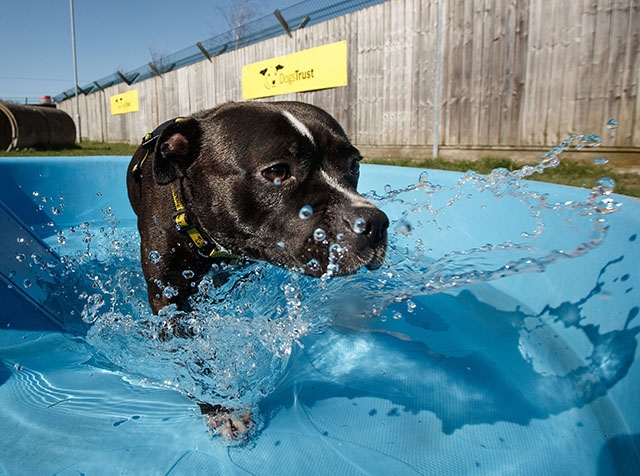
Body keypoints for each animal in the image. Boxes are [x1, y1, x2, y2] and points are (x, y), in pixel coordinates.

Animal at [123, 100, 388, 438]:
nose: (375, 223)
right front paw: (220, 406)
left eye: (354, 165)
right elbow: (192, 353)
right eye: (276, 171)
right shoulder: (167, 299)